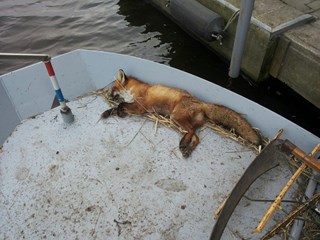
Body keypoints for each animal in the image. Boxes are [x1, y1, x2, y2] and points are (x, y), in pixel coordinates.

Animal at [102, 69, 262, 158]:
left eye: (113, 88)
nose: (108, 95)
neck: (133, 90)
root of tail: (201, 103)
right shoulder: (134, 106)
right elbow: (118, 107)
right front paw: (107, 112)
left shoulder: (140, 107)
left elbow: (120, 105)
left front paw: (118, 111)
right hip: (181, 123)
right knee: (196, 138)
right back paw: (187, 149)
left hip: (176, 117)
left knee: (192, 133)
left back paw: (184, 144)